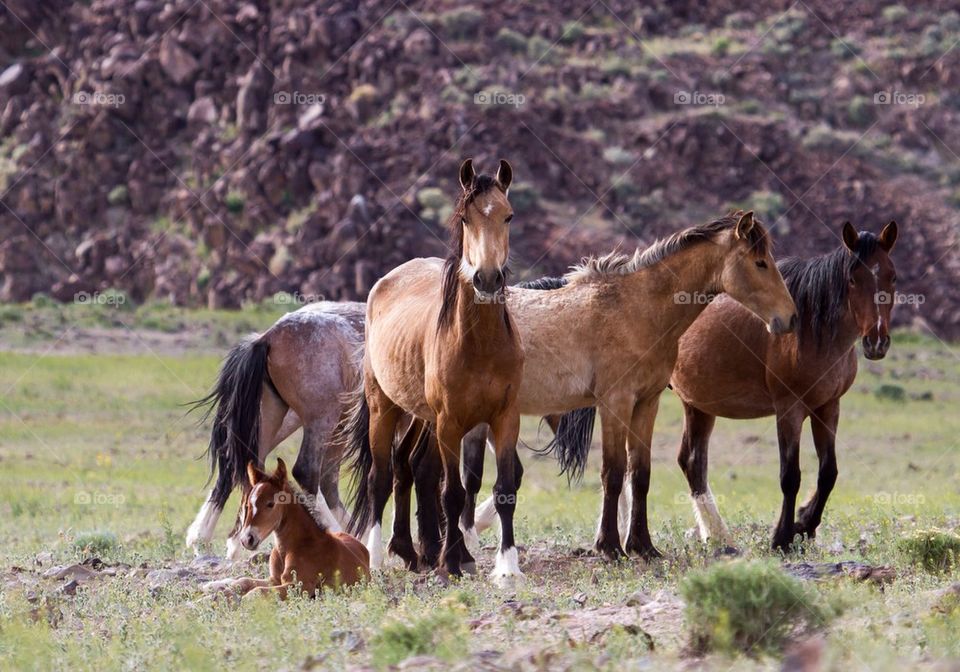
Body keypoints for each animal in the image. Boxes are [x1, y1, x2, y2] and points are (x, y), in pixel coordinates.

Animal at [185, 301, 364, 557]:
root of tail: (267, 337)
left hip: (279, 419)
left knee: (240, 465)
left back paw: (210, 540)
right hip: (320, 419)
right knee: (308, 472)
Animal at [202, 458, 369, 599]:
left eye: (270, 504)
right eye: (247, 505)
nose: (247, 539)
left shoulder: (300, 586)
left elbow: (255, 592)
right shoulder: (274, 579)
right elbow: (244, 582)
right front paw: (210, 596)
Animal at [343, 158, 525, 584]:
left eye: (508, 215)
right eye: (465, 218)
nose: (487, 278)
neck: (480, 344)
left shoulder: (505, 418)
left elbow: (504, 489)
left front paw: (507, 567)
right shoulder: (450, 423)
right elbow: (453, 493)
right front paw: (451, 564)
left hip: (420, 418)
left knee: (408, 466)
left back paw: (414, 551)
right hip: (385, 408)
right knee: (380, 477)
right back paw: (378, 557)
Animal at [398, 211, 798, 562]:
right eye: (760, 263)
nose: (790, 318)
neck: (635, 309)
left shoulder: (647, 403)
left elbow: (640, 474)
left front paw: (643, 546)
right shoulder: (614, 403)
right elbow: (613, 472)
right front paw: (610, 547)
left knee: (418, 467)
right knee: (425, 471)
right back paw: (435, 552)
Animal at [669, 221, 899, 551]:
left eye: (893, 276)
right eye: (853, 279)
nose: (876, 342)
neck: (813, 331)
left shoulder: (827, 407)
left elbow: (828, 472)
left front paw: (805, 524)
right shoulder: (789, 409)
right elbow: (790, 475)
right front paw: (782, 537)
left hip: (698, 404)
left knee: (692, 463)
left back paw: (716, 536)